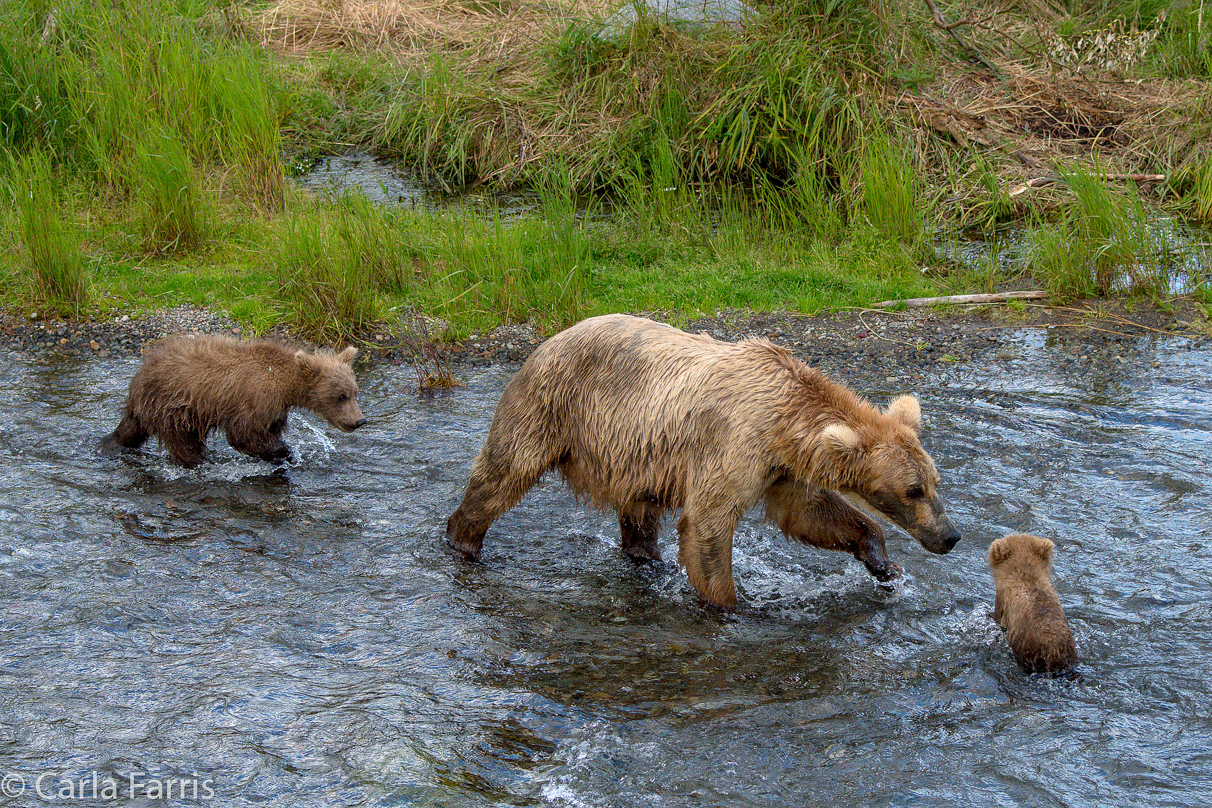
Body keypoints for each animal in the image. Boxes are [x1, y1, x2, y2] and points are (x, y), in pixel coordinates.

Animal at [98, 336, 363, 467]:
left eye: (355, 392)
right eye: (340, 396)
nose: (359, 420)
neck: (285, 385)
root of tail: (138, 378)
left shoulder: (275, 410)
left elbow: (266, 432)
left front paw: (279, 454)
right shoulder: (255, 398)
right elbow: (242, 435)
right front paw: (285, 451)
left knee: (132, 431)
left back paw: (109, 443)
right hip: (171, 405)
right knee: (182, 442)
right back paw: (199, 462)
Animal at [446, 312, 955, 610]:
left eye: (934, 482)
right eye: (912, 490)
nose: (950, 536)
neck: (784, 420)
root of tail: (549, 338)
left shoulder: (782, 468)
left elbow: (809, 513)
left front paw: (882, 563)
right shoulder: (735, 444)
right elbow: (708, 523)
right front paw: (730, 605)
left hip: (633, 453)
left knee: (638, 510)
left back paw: (646, 560)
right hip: (550, 406)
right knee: (503, 472)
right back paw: (464, 542)